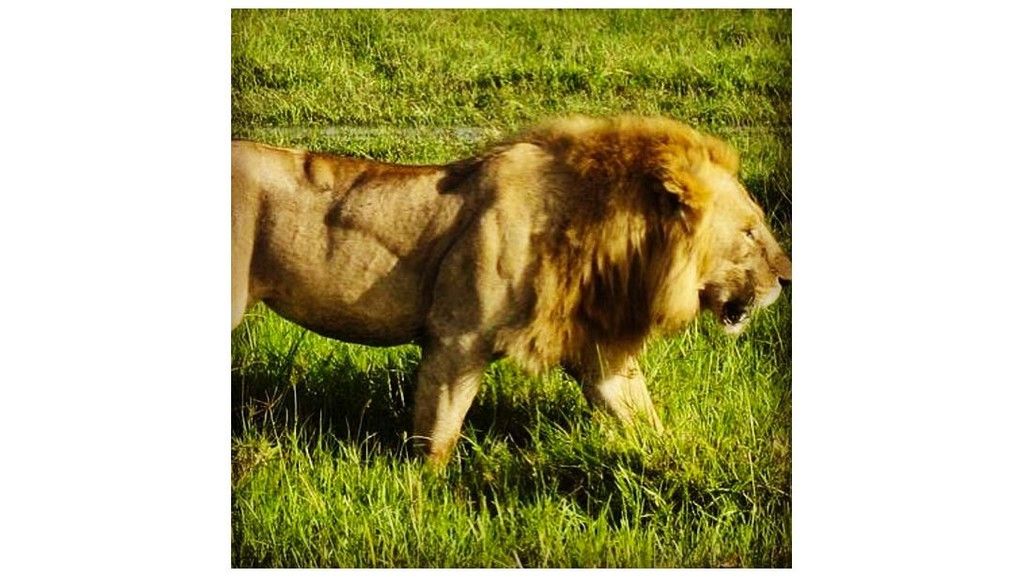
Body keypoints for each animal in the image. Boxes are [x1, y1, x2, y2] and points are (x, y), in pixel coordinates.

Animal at [232, 116, 791, 464]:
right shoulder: (456, 339)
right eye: (748, 232)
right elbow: (438, 432)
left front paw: (674, 460)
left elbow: (640, 415)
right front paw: (424, 495)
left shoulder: (597, 349)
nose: (787, 278)